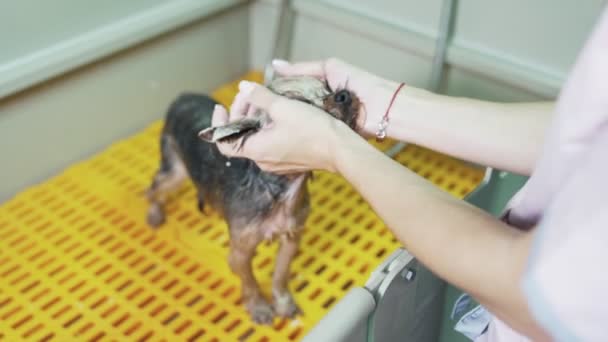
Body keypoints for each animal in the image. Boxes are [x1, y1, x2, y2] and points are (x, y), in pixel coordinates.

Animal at [145, 75, 358, 324]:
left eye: (327, 87)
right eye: (301, 104)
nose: (344, 94)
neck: (279, 191)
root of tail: (182, 97)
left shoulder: (292, 237)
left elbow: (280, 275)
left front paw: (283, 303)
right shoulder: (240, 252)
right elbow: (249, 281)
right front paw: (258, 307)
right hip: (176, 170)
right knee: (155, 187)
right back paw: (154, 213)